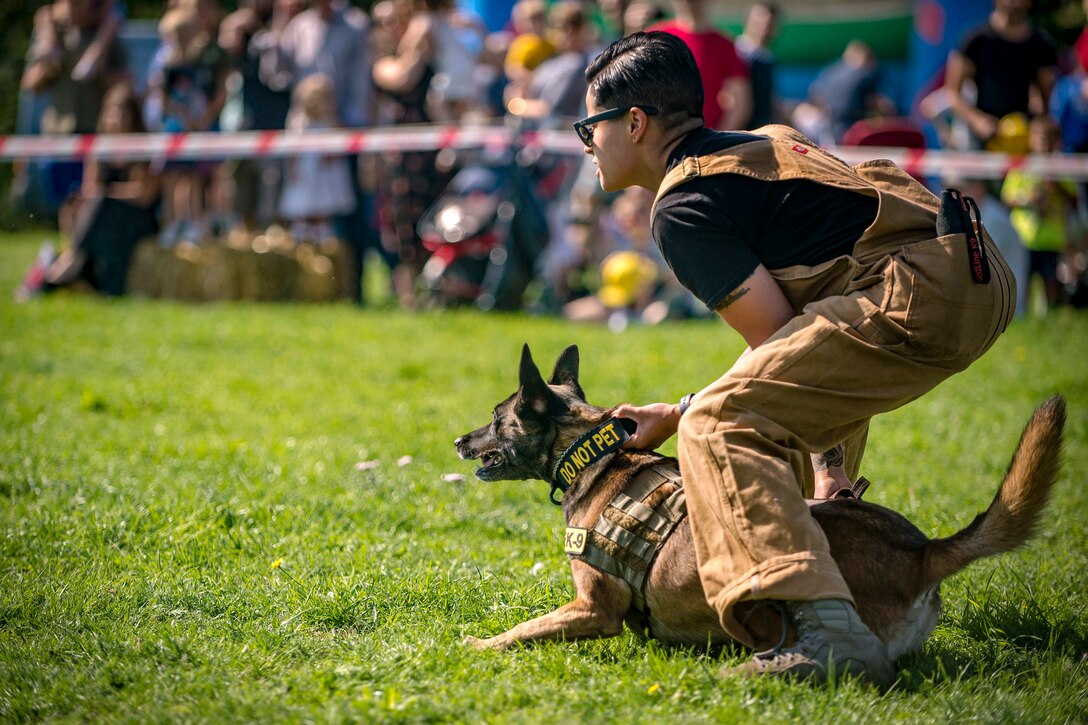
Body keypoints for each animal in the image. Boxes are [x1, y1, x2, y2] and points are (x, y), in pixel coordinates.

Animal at [452, 341, 1061, 657]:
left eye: (496, 420)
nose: (458, 441)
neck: (595, 455)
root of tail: (919, 552)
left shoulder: (593, 609)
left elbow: (521, 630)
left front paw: (475, 645)